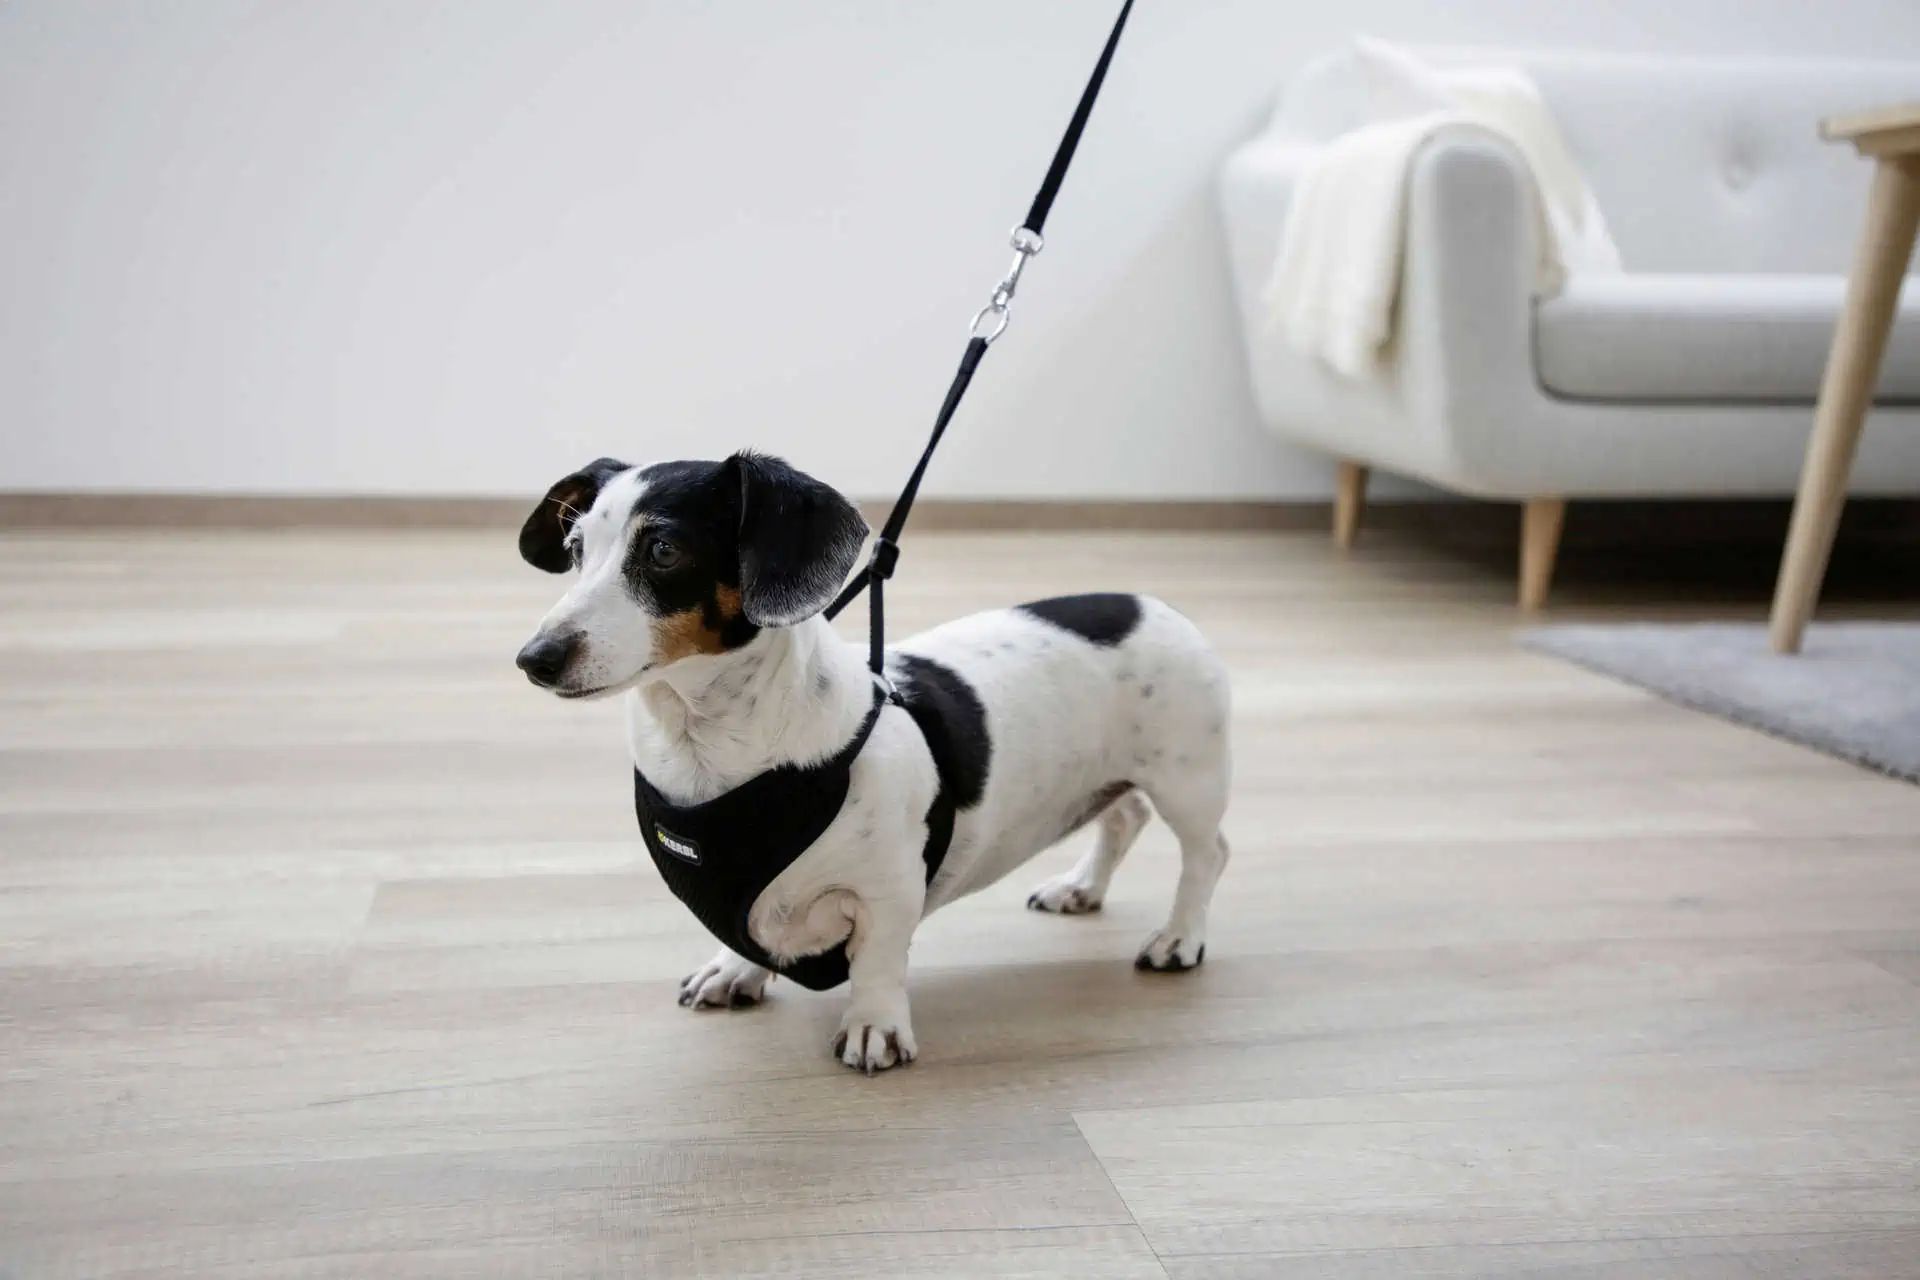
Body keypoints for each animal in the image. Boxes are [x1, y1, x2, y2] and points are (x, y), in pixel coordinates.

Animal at [515, 452, 1232, 1073]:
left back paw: (1178, 938)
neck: (710, 751)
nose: (534, 659)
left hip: (1187, 779)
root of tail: (1152, 603)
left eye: (664, 550)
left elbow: (880, 962)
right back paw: (1080, 887)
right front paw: (735, 969)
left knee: (1207, 854)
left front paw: (875, 1027)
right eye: (575, 551)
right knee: (1122, 818)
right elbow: (746, 937)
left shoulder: (889, 888)